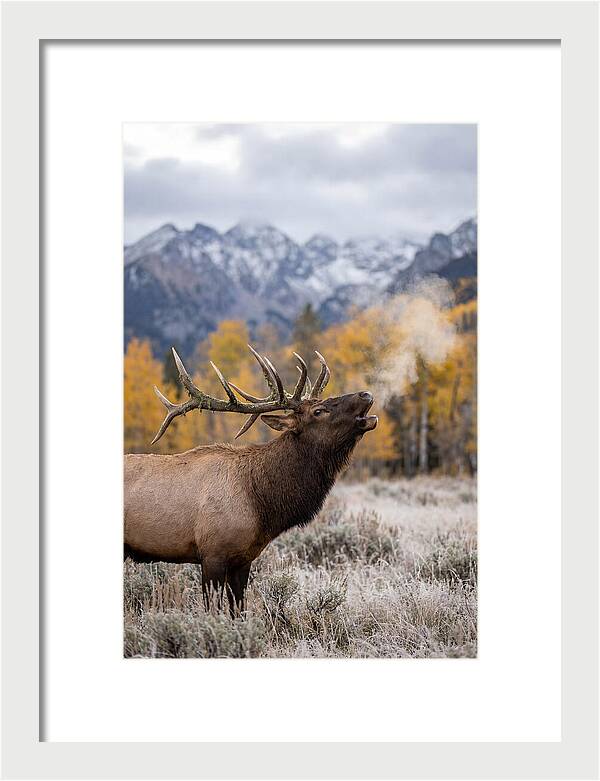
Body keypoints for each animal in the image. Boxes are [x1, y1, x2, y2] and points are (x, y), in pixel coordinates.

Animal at [124, 344, 378, 614]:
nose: (365, 394)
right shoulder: (212, 554)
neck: (261, 504)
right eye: (318, 411)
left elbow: (239, 610)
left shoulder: (243, 560)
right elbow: (213, 612)